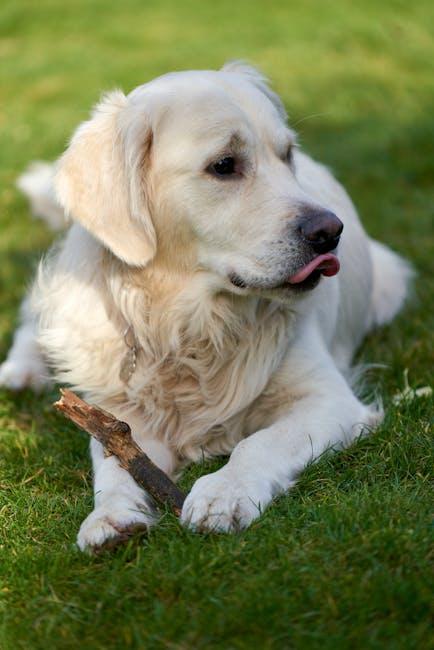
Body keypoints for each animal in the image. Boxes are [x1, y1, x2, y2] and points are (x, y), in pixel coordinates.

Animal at [0, 60, 410, 548]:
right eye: (224, 165)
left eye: (287, 155)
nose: (330, 232)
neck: (190, 324)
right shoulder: (122, 411)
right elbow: (114, 460)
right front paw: (109, 516)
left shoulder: (330, 401)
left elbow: (259, 442)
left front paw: (223, 494)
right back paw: (21, 371)